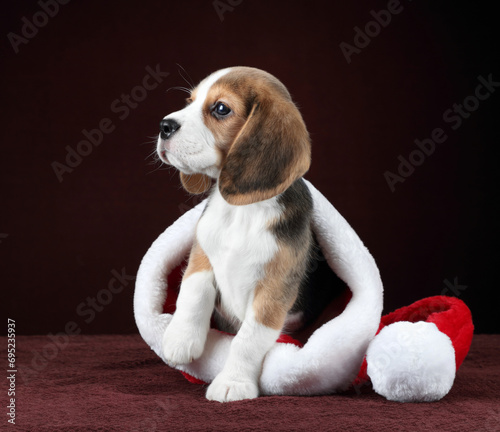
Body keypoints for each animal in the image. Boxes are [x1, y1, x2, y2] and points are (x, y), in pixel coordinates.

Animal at [156, 66, 312, 402]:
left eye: (220, 108)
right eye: (189, 101)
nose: (164, 126)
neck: (242, 210)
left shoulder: (274, 289)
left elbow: (247, 340)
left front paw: (233, 382)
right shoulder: (202, 251)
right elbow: (193, 290)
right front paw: (179, 338)